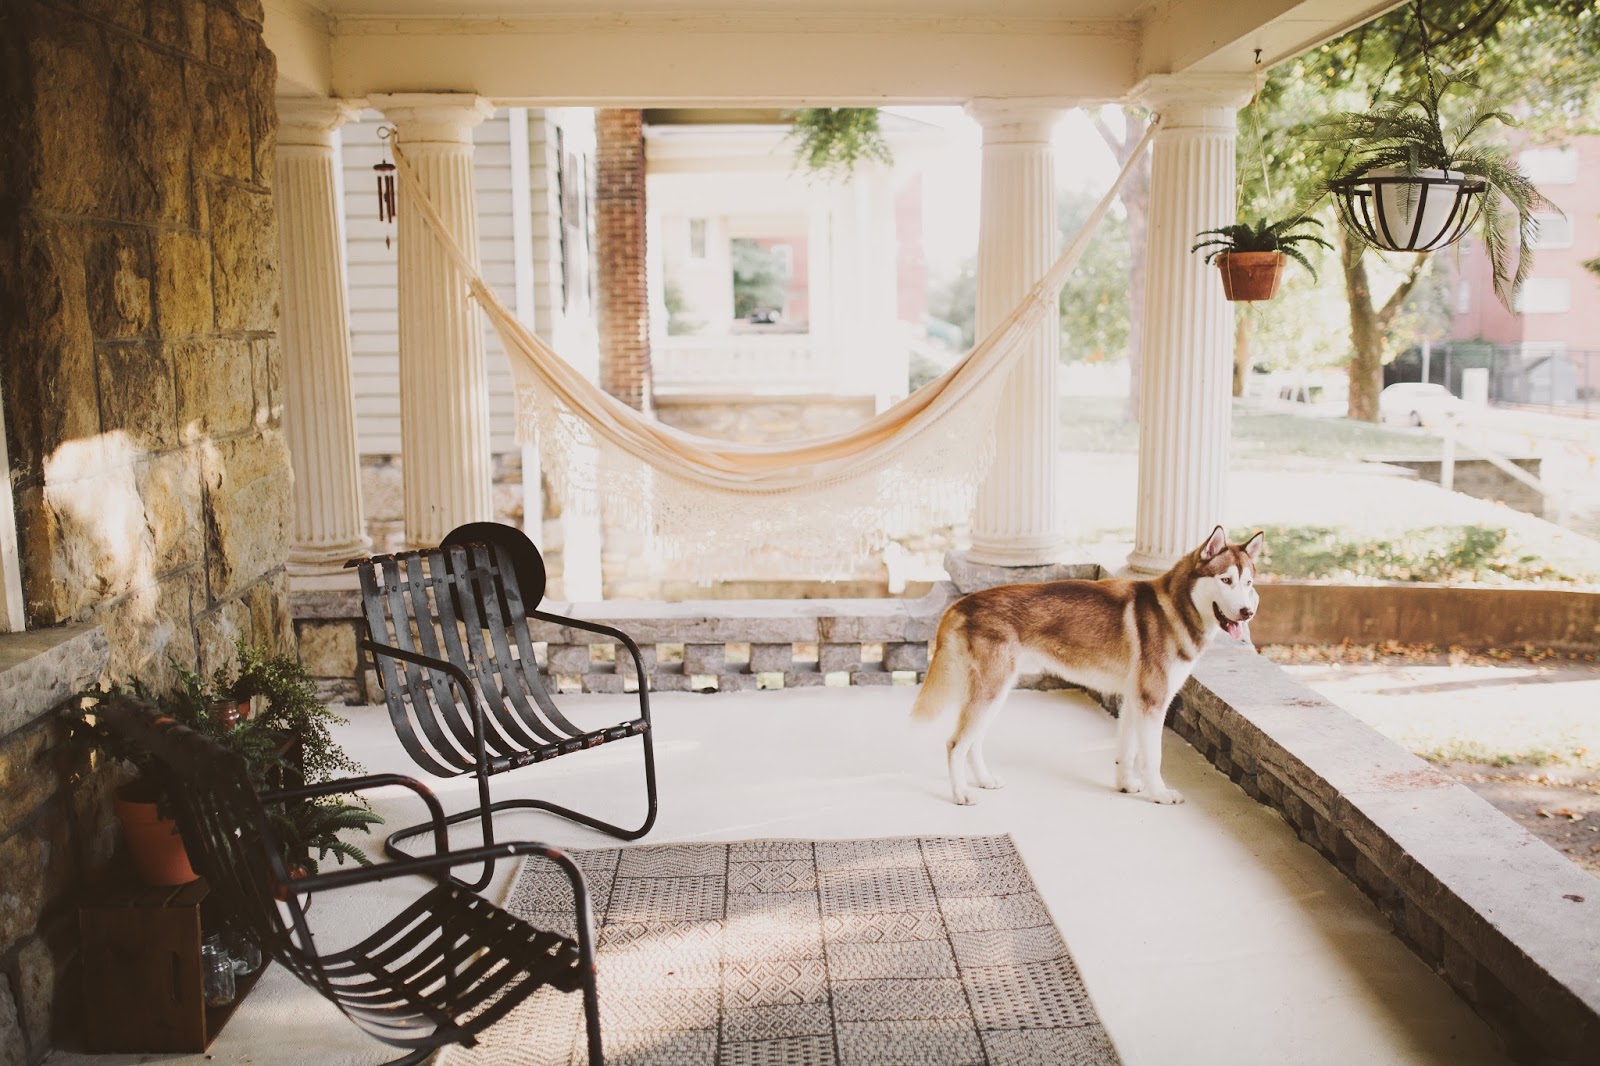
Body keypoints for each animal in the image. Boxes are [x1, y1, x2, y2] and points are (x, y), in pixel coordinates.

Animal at [915, 518, 1260, 800]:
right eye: (1225, 580)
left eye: (1248, 583)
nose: (1247, 612)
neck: (1175, 607)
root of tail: (962, 603)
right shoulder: (1153, 701)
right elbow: (1153, 757)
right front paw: (1160, 794)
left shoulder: (1134, 700)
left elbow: (1127, 751)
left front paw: (1125, 785)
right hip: (990, 692)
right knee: (955, 744)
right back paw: (961, 793)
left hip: (994, 694)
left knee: (973, 743)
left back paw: (984, 780)